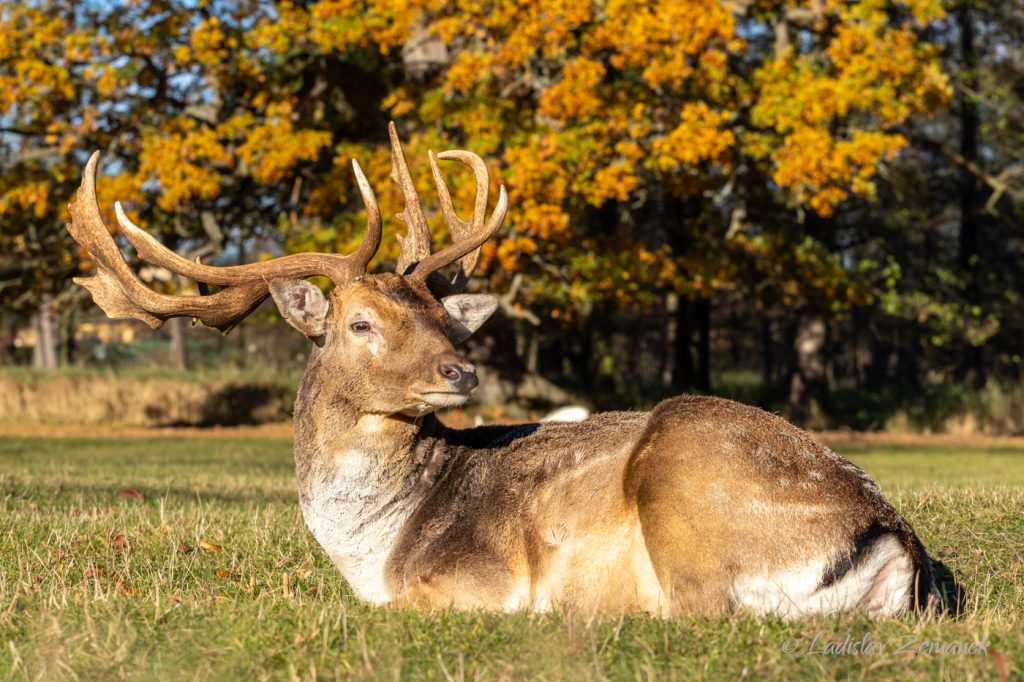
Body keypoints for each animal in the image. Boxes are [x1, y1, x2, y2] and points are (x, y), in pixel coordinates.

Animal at [68, 122, 937, 614]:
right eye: (360, 322)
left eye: (441, 315)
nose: (459, 371)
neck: (370, 550)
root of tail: (891, 540)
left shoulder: (473, 578)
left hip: (688, 478)